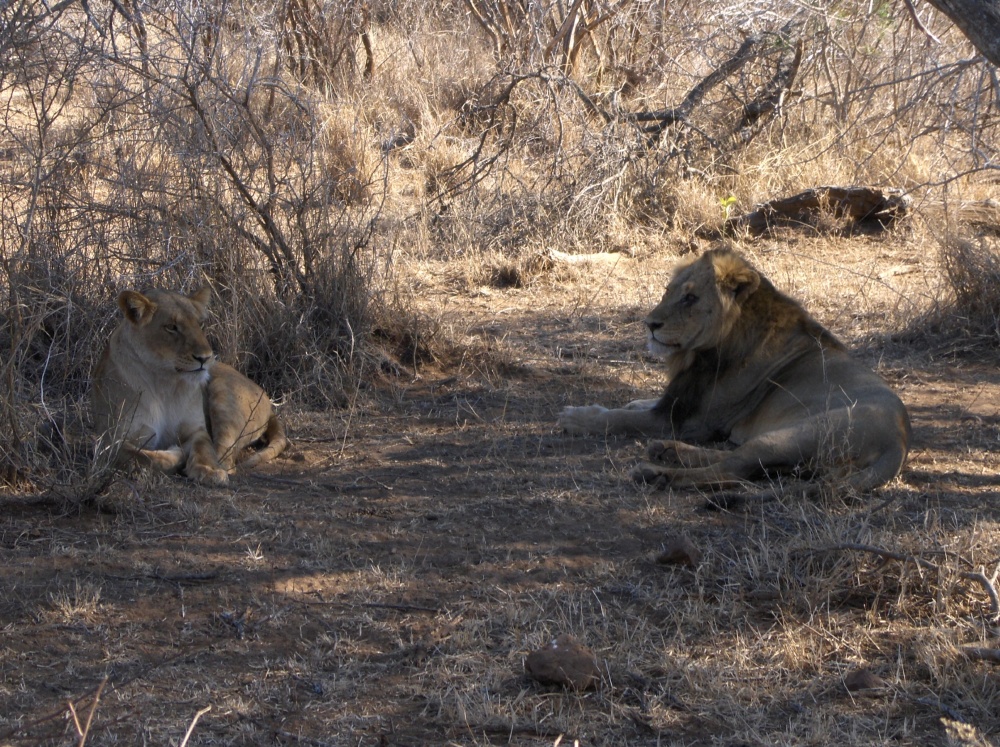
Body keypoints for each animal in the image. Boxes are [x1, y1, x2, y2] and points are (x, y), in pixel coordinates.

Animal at [92, 286, 288, 486]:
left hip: (223, 394)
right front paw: (177, 453)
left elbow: (204, 447)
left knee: (225, 458)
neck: (164, 381)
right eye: (171, 327)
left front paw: (208, 470)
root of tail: (267, 399)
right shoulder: (109, 442)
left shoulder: (197, 430)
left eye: (200, 324)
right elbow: (144, 457)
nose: (205, 358)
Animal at [560, 248, 912, 494]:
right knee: (737, 461)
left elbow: (620, 419)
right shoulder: (681, 402)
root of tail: (898, 440)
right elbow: (637, 406)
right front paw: (630, 403)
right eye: (667, 292)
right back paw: (664, 451)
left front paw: (578, 416)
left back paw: (655, 472)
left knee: (731, 469)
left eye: (690, 298)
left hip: (791, 435)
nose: (650, 324)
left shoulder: (688, 421)